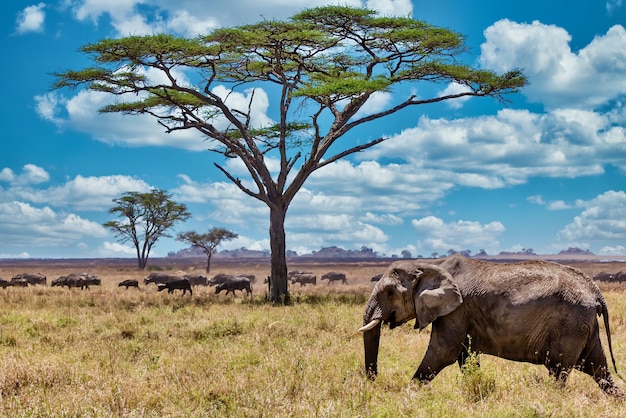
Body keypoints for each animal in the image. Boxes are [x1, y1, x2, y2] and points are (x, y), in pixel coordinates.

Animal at [358, 253, 620, 396]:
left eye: (389, 292)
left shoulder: (457, 309)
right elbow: (465, 357)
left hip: (571, 324)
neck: (430, 263)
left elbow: (443, 352)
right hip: (584, 325)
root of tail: (594, 290)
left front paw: (407, 395)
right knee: (598, 369)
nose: (373, 380)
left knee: (559, 371)